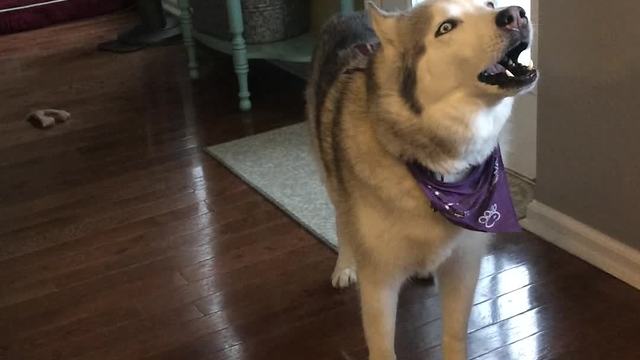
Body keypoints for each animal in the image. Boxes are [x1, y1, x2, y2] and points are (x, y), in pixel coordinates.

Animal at [308, 0, 536, 358]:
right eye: (445, 27)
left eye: (488, 4)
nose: (515, 15)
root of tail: (352, 15)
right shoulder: (380, 278)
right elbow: (383, 346)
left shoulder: (464, 265)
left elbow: (455, 335)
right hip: (331, 174)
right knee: (342, 219)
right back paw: (344, 265)